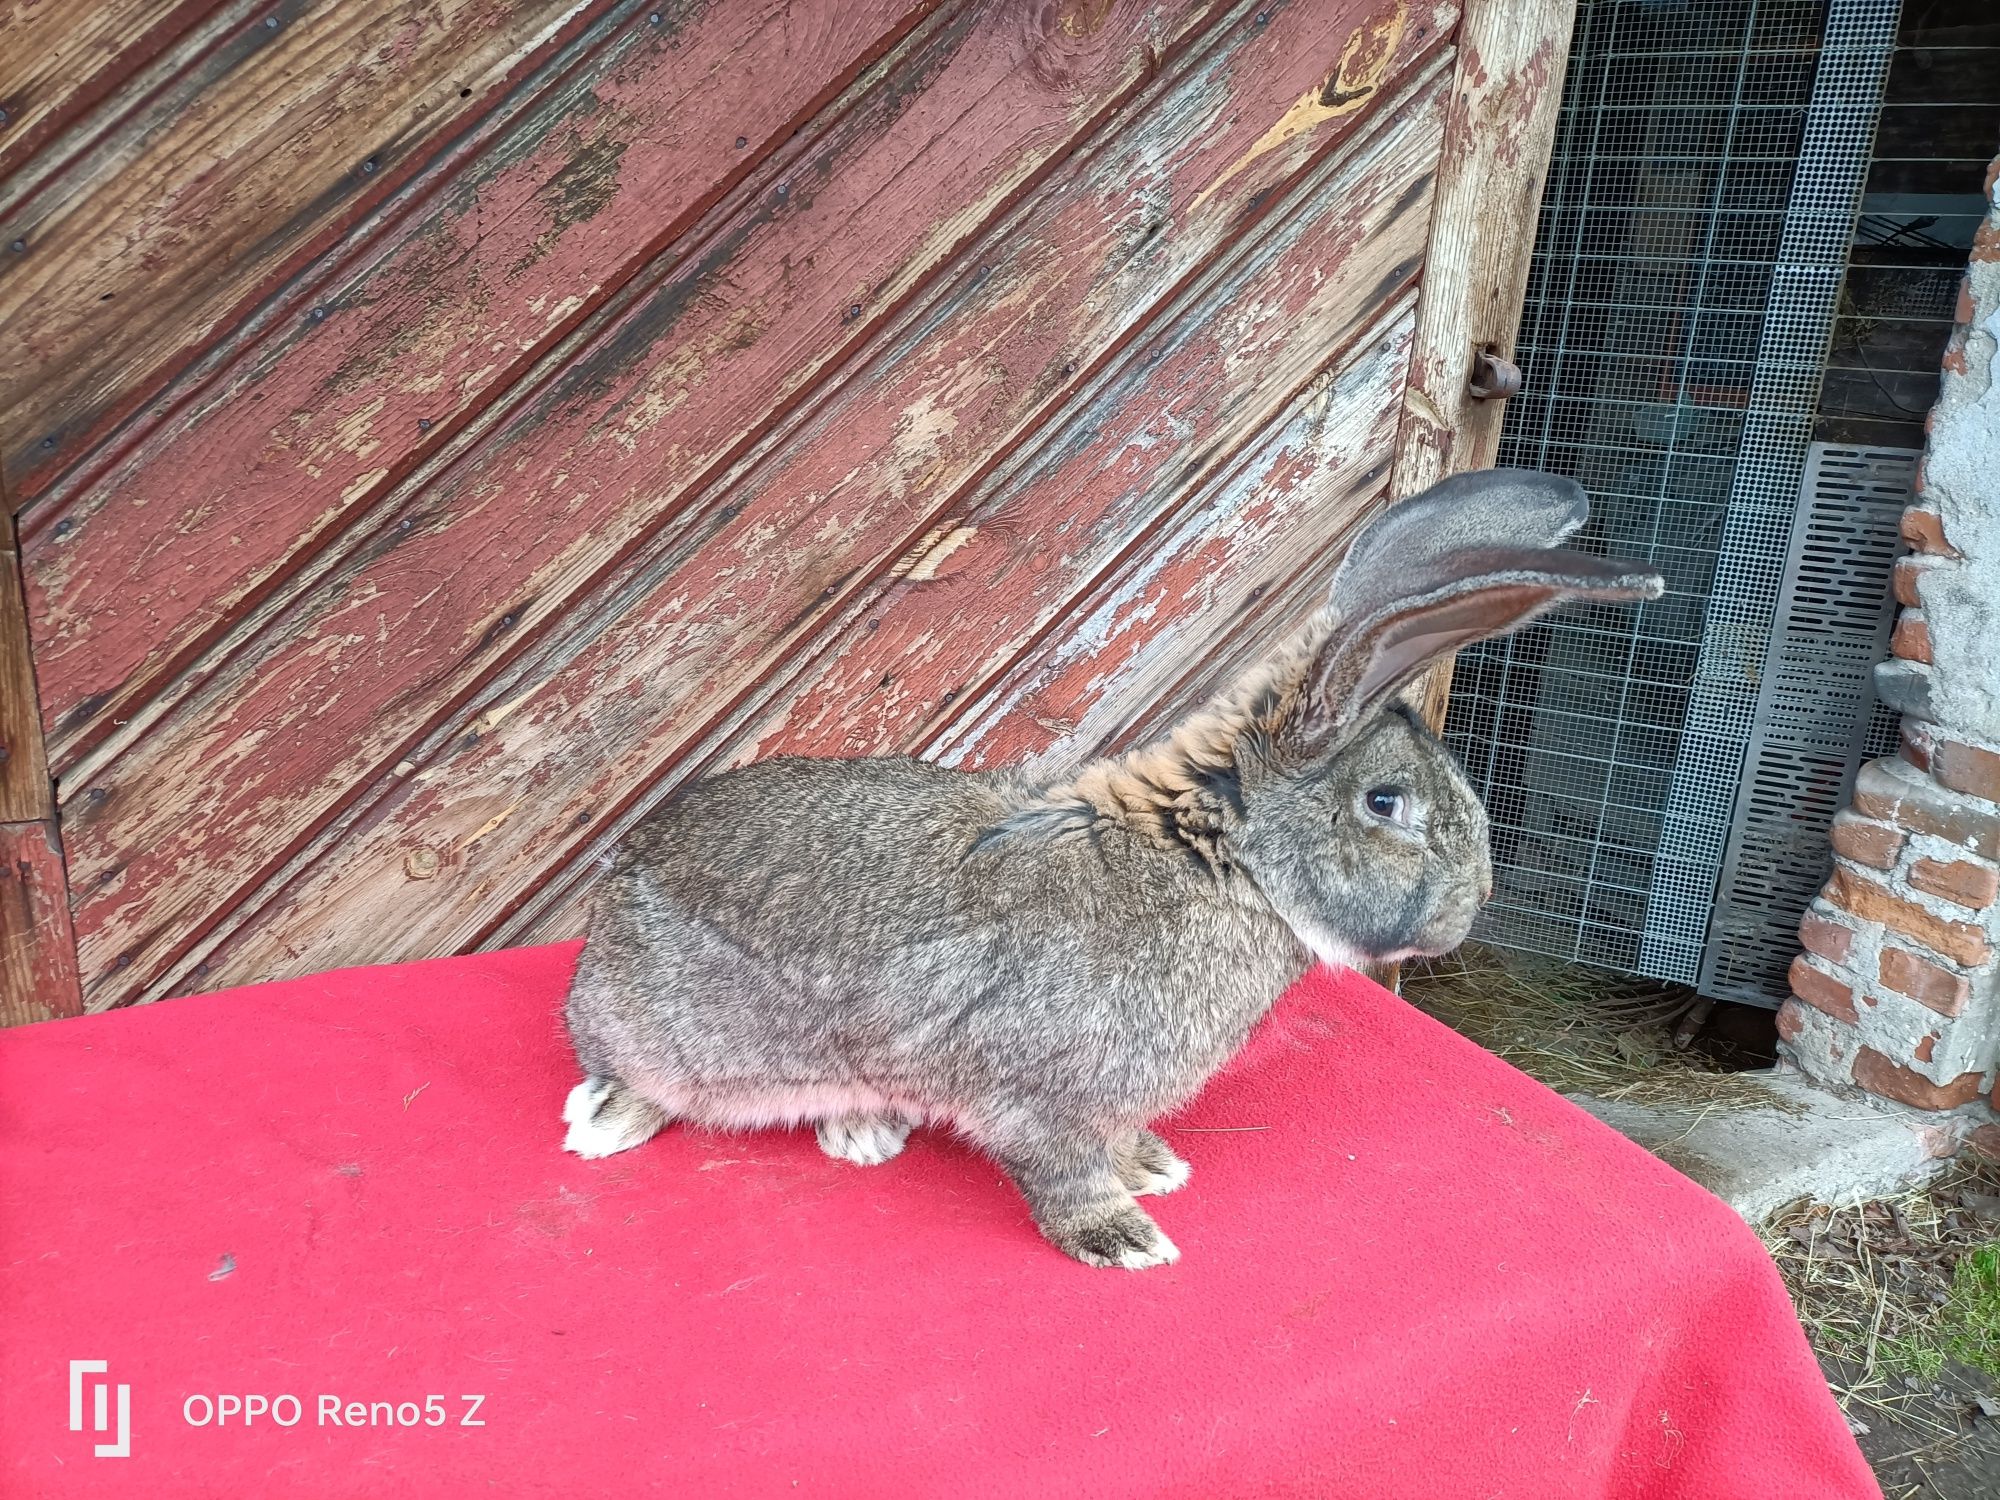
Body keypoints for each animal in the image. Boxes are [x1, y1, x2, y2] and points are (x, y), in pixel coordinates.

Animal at [564, 470, 1656, 1272]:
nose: (1473, 909)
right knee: (628, 1068)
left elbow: (1117, 1141)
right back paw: (605, 1122)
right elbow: (1062, 1174)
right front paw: (1125, 1239)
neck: (1216, 855)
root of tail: (618, 888)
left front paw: (1154, 1168)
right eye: (1385, 804)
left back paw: (862, 1131)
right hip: (664, 1029)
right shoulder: (1040, 1098)